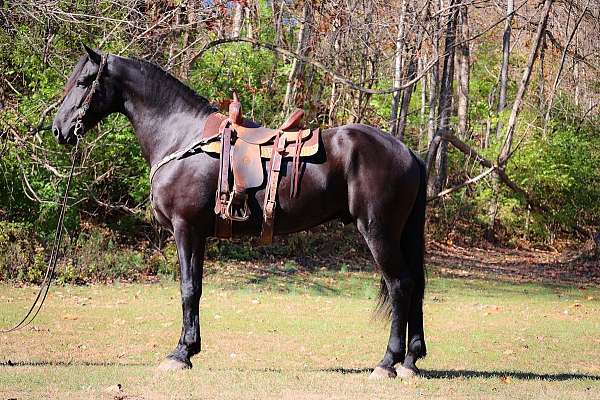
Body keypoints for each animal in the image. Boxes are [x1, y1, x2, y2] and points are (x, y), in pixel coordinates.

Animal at [51, 47, 426, 378]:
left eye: (83, 82)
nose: (58, 129)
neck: (180, 138)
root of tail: (407, 152)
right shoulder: (196, 233)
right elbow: (195, 288)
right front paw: (190, 349)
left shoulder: (185, 229)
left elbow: (188, 288)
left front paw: (181, 354)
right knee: (416, 286)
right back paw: (410, 361)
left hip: (378, 231)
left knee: (400, 285)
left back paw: (388, 362)